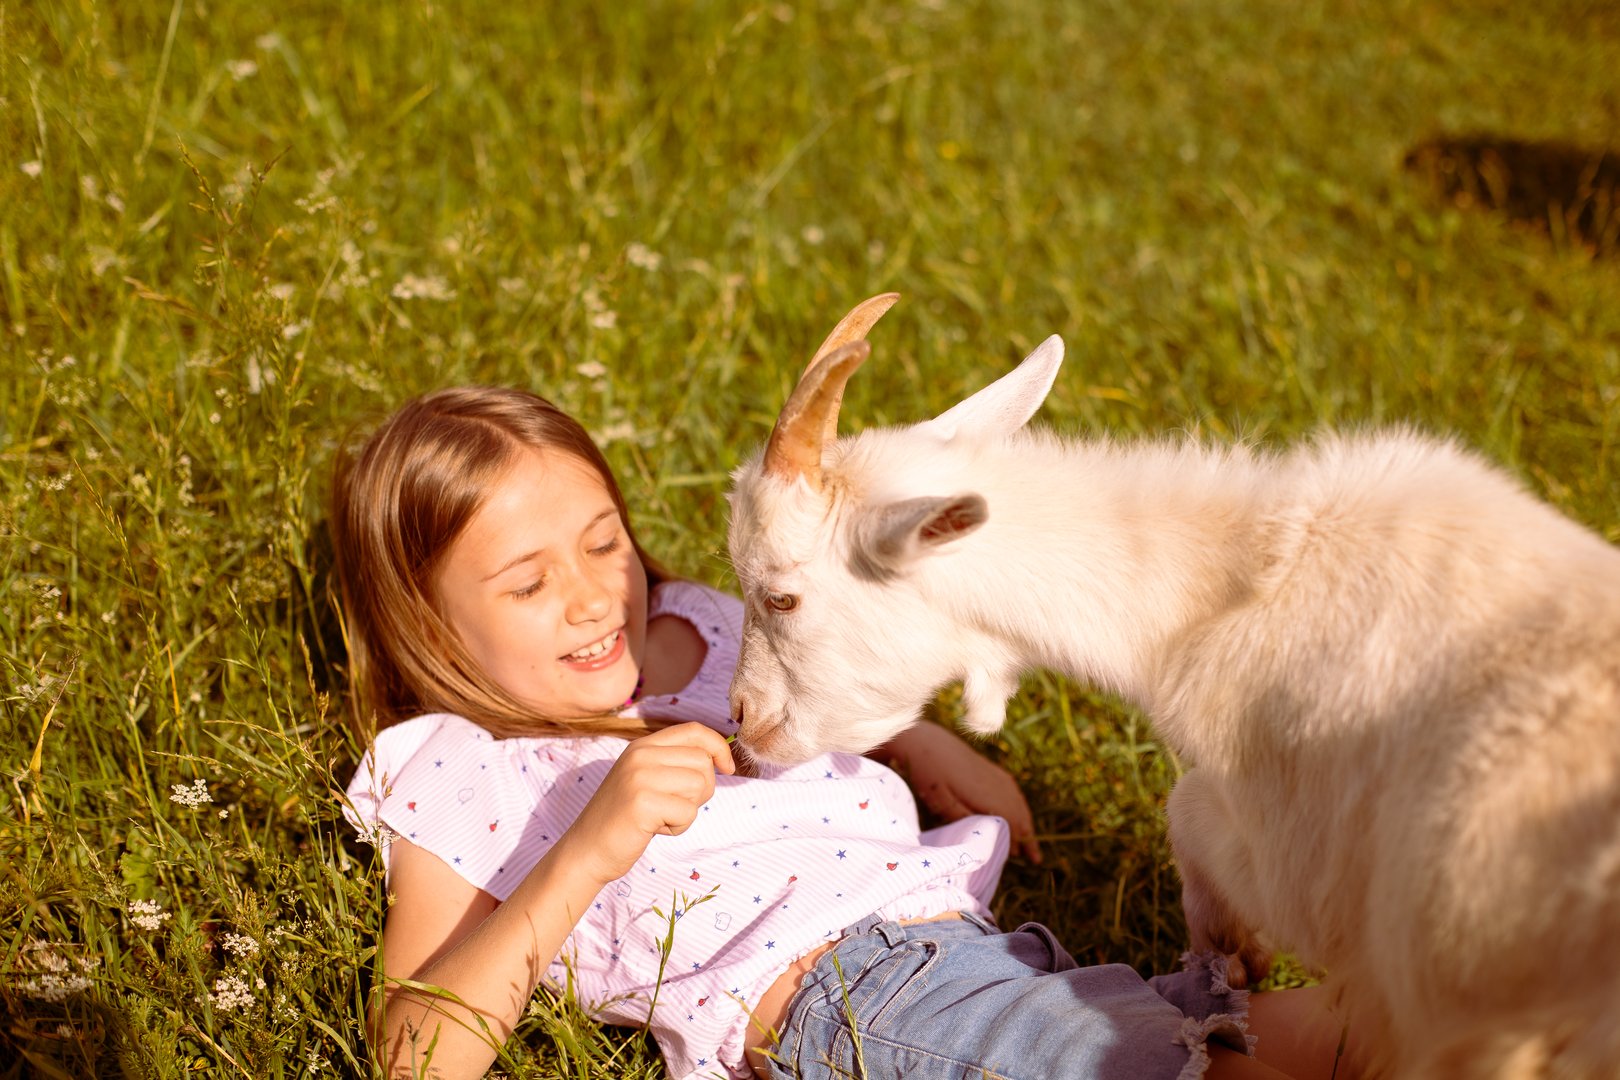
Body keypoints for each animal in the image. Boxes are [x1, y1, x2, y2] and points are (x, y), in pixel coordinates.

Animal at [725, 293, 1620, 1079]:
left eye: (781, 596)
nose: (744, 724)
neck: (1246, 585)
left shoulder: (1311, 864)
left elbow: (1186, 806)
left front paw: (1232, 949)